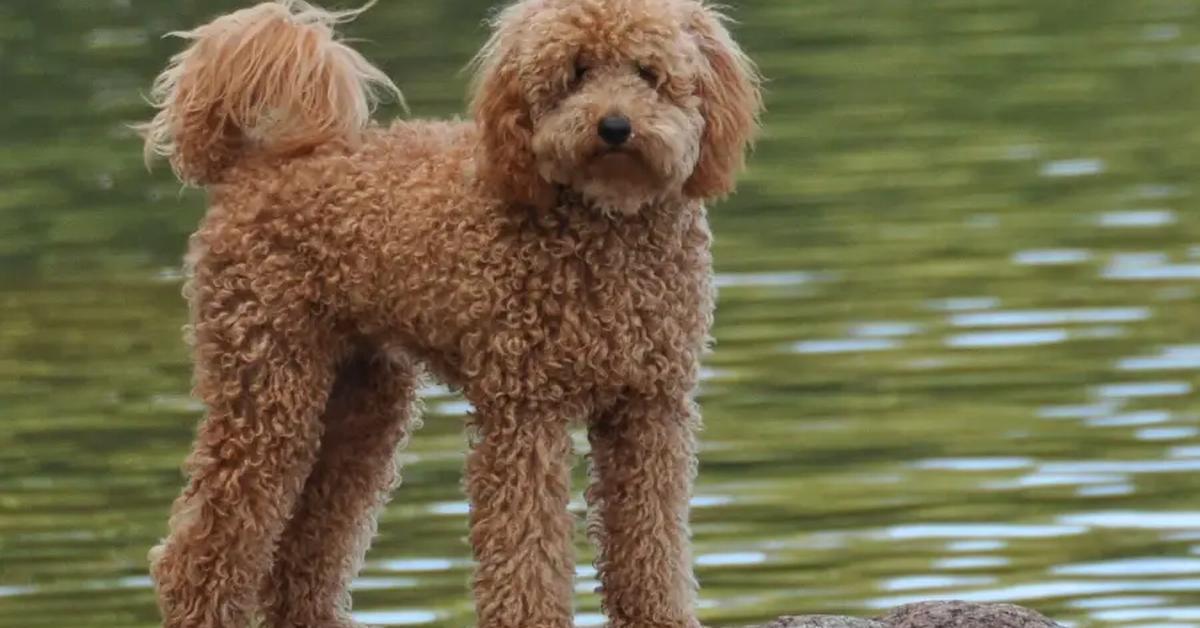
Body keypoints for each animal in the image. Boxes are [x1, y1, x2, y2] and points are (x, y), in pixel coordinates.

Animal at [140, 1, 758, 628]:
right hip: (266, 383)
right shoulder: (523, 412)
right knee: (201, 553)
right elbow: (525, 548)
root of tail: (250, 164)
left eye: (649, 73)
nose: (614, 127)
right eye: (576, 72)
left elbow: (651, 544)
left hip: (360, 403)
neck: (605, 224)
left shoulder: (649, 407)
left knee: (304, 551)